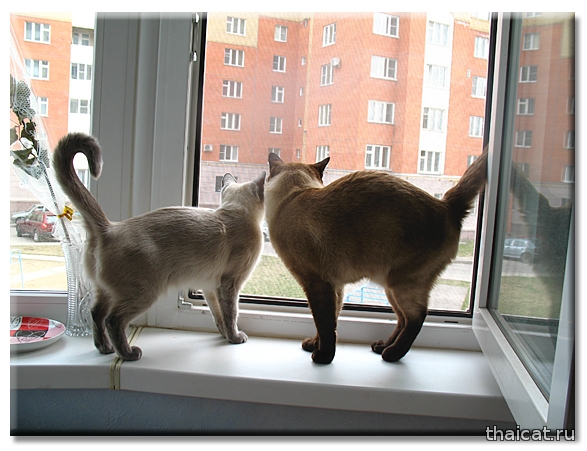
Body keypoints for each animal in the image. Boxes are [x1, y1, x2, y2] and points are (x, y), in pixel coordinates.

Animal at [53, 132, 265, 361]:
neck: (236, 211)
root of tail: (109, 228)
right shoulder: (229, 284)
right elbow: (231, 314)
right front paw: (235, 338)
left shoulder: (210, 287)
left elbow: (218, 315)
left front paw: (225, 336)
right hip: (144, 293)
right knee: (113, 319)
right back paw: (128, 354)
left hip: (105, 291)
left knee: (96, 313)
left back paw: (105, 348)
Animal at [265, 150, 487, 364]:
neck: (291, 197)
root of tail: (446, 206)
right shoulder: (335, 287)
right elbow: (330, 321)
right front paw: (313, 345)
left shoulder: (317, 283)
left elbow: (325, 325)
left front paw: (323, 357)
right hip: (390, 287)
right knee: (402, 319)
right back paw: (383, 346)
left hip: (402, 284)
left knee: (417, 317)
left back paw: (392, 354)